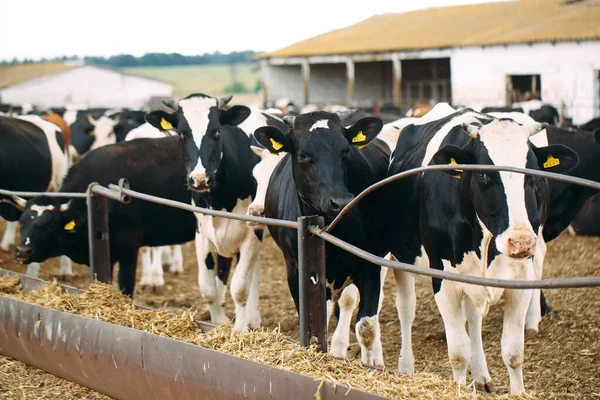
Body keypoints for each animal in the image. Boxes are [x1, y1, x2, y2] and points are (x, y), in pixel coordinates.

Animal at [255, 108, 392, 366]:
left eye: (346, 151)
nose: (340, 201)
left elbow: (366, 326)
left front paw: (371, 365)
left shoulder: (369, 265)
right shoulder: (296, 272)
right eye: (303, 155)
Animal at [382, 107, 580, 394]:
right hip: (400, 259)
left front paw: (517, 392)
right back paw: (405, 366)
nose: (521, 242)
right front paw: (458, 388)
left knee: (474, 320)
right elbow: (457, 353)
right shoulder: (444, 280)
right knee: (406, 310)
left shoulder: (521, 279)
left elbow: (513, 352)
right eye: (483, 174)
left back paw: (481, 376)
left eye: (532, 174)